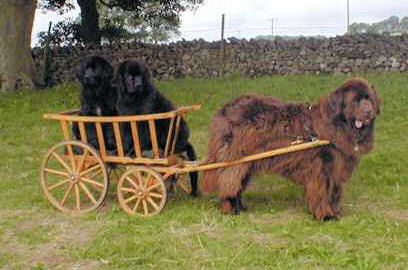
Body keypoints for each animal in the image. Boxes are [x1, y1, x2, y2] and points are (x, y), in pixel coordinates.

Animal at [115, 59, 198, 195]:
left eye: (141, 76)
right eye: (129, 76)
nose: (138, 84)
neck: (132, 99)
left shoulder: (145, 121)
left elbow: (140, 138)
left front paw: (134, 152)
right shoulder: (126, 120)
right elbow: (127, 138)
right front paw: (122, 152)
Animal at [202, 77, 380, 220]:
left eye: (369, 99)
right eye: (355, 101)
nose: (368, 111)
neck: (338, 125)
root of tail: (224, 109)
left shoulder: (337, 166)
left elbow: (334, 191)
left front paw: (335, 212)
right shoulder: (322, 167)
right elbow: (323, 190)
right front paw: (325, 215)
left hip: (249, 160)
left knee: (237, 183)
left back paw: (240, 207)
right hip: (237, 158)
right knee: (229, 180)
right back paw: (230, 208)